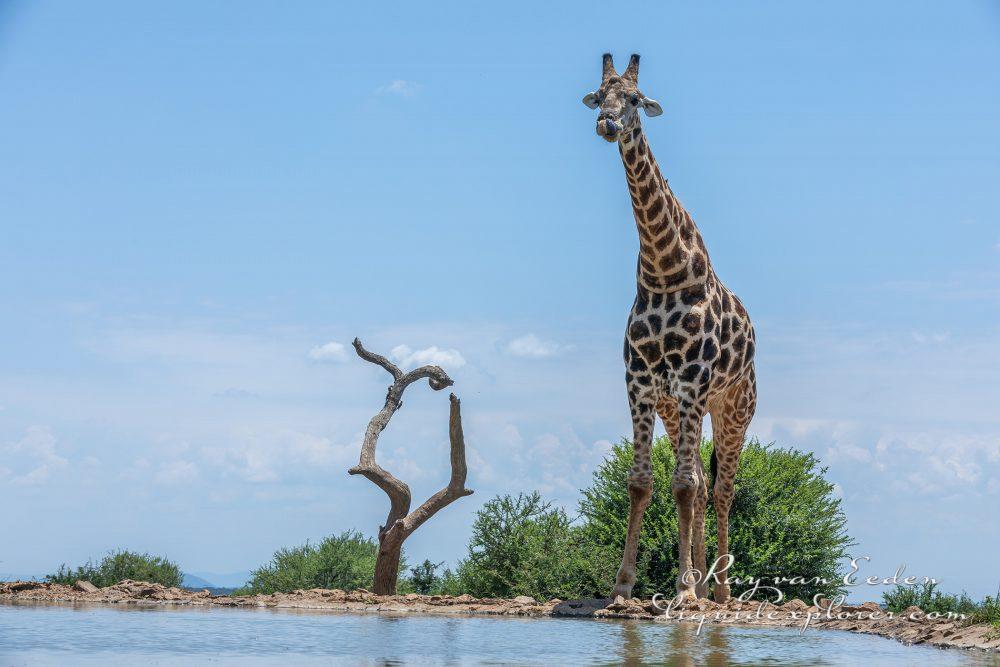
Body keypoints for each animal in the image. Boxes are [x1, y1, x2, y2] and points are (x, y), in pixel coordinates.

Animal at [580, 54, 756, 604]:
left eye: (636, 99)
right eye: (600, 94)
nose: (607, 124)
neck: (663, 274)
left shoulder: (695, 384)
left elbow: (682, 485)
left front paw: (684, 592)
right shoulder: (640, 383)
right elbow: (642, 482)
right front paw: (623, 587)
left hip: (733, 408)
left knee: (720, 488)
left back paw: (719, 591)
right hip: (675, 408)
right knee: (699, 481)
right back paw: (701, 578)